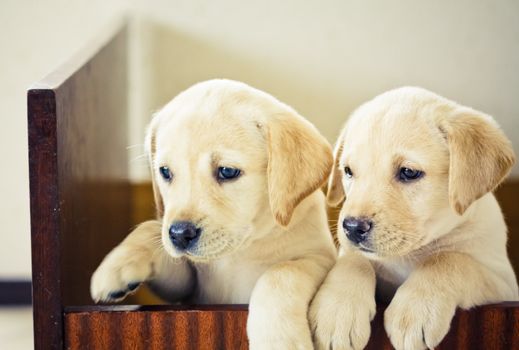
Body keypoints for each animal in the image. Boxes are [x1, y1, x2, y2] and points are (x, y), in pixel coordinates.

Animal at [91, 80, 338, 350]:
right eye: (165, 172)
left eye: (227, 171)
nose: (179, 234)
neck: (243, 249)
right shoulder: (187, 289)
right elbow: (149, 229)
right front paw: (117, 264)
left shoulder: (320, 257)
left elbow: (281, 272)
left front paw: (279, 340)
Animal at [310, 87, 516, 350]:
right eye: (348, 171)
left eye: (408, 172)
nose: (353, 228)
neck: (408, 255)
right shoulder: (353, 252)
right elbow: (353, 260)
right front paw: (337, 311)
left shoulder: (504, 283)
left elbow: (449, 259)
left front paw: (415, 310)